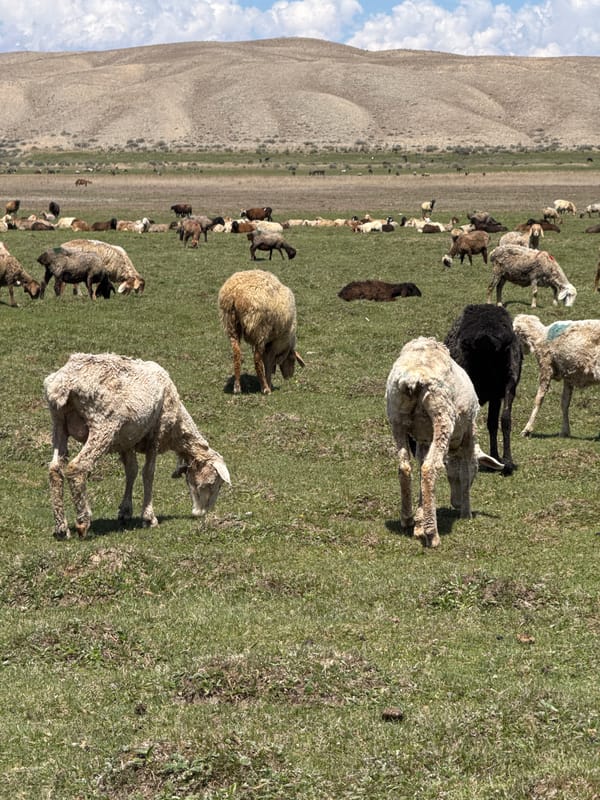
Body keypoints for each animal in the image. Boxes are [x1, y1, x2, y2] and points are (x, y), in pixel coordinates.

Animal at [44, 352, 231, 539]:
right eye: (215, 483)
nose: (202, 513)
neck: (177, 430)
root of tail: (62, 383)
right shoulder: (156, 433)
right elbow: (148, 473)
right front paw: (149, 518)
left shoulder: (127, 441)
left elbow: (131, 470)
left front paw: (125, 511)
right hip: (103, 424)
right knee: (77, 467)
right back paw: (83, 521)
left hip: (59, 423)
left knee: (54, 469)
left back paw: (61, 528)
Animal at [385, 337, 504, 548]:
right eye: (477, 472)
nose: (455, 504)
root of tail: (412, 379)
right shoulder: (469, 433)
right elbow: (465, 470)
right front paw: (466, 512)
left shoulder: (424, 439)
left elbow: (421, 464)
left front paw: (419, 519)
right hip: (442, 415)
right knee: (429, 468)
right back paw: (432, 534)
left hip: (396, 416)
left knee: (405, 466)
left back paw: (407, 518)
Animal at [445, 304, 523, 474]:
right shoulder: (497, 393)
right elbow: (493, 422)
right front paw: (496, 459)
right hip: (509, 380)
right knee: (505, 419)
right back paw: (507, 462)